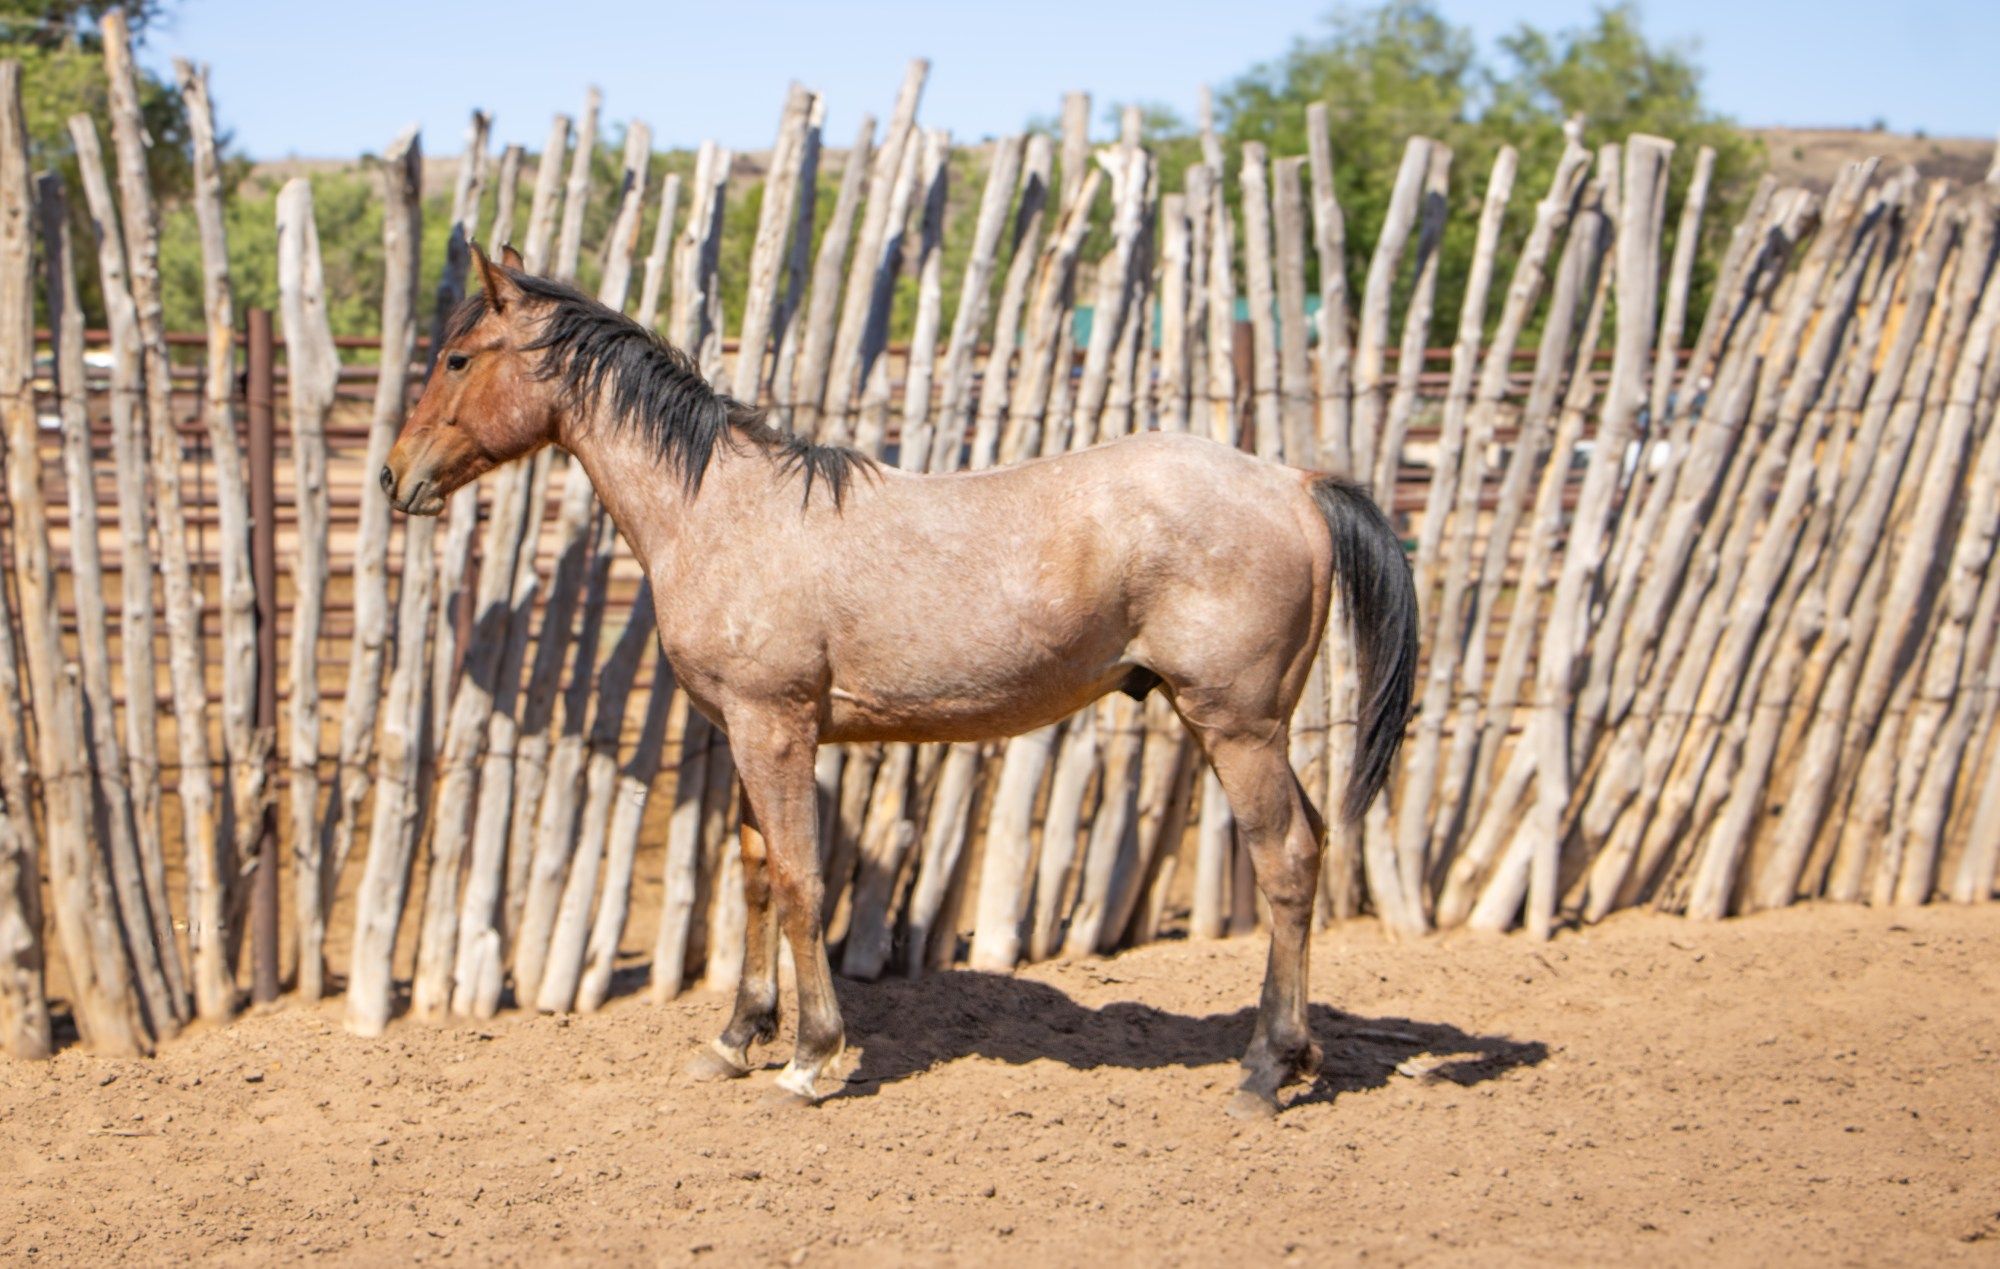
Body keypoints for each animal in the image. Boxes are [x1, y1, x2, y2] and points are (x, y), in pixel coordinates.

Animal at [383, 244, 1418, 1118]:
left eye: (459, 358)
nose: (395, 476)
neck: (721, 510)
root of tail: (1292, 482)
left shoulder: (774, 727)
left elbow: (801, 880)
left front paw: (811, 1057)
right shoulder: (744, 731)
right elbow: (755, 874)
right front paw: (736, 1037)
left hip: (1237, 726)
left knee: (1287, 860)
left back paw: (1263, 1069)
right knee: (1311, 842)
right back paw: (1299, 1056)